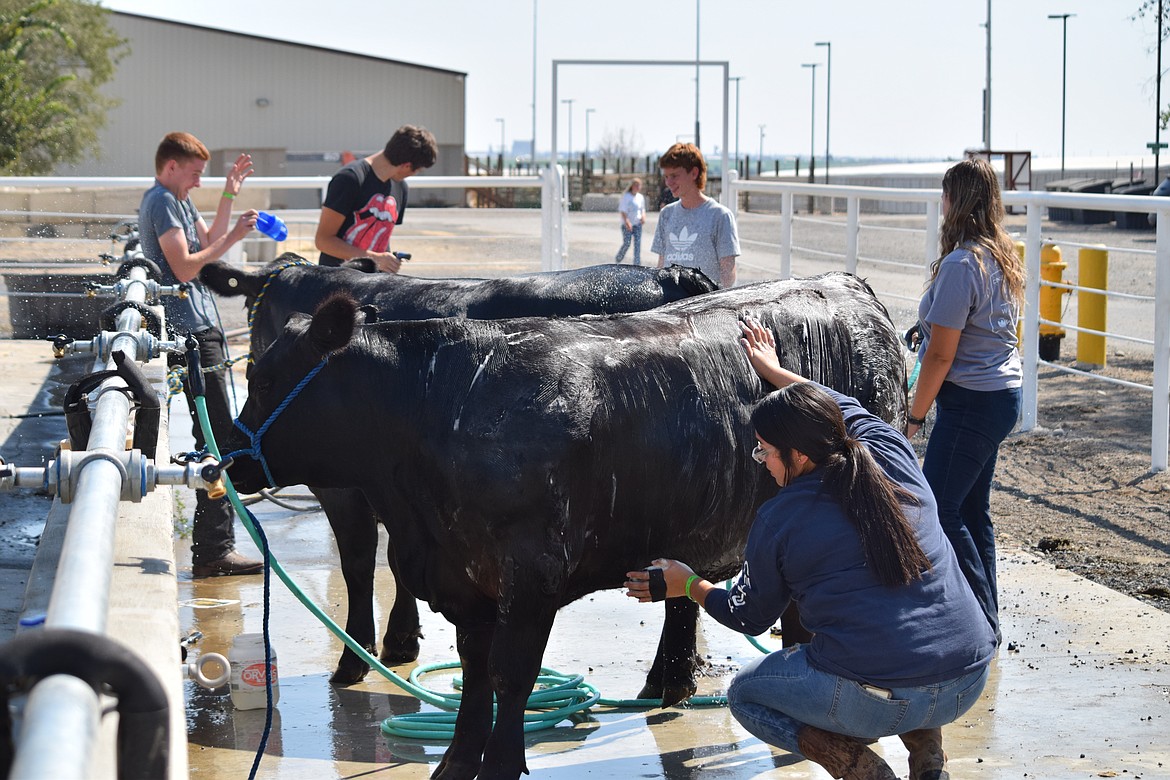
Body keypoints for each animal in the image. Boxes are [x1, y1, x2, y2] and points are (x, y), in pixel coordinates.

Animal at [197, 256, 716, 682]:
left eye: (260, 380)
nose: (231, 460)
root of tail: (671, 273)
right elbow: (393, 559)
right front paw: (401, 640)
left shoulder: (342, 486)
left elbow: (360, 560)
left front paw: (355, 657)